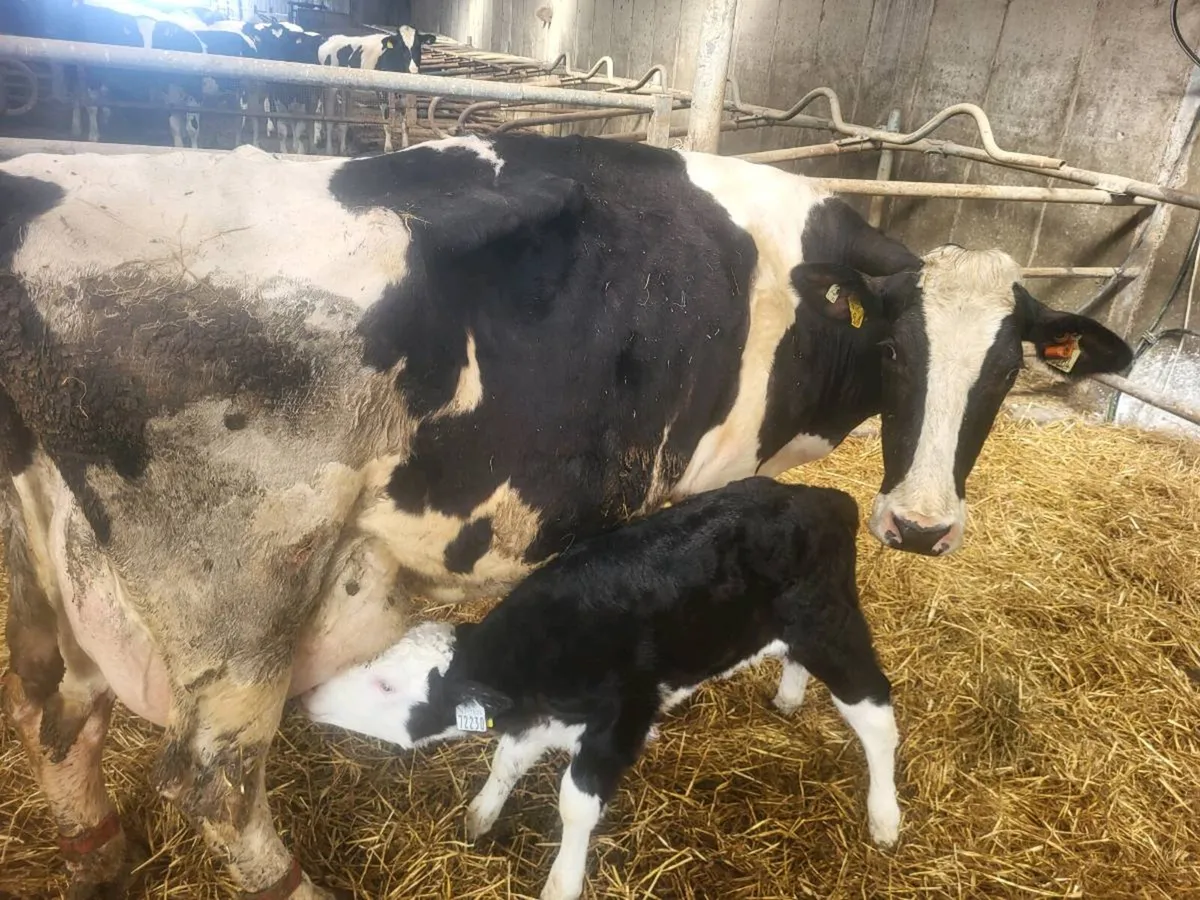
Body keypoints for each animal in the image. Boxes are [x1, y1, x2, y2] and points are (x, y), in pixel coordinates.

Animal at [0, 133, 1132, 899]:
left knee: (54, 711)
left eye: (1006, 369)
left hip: (47, 572)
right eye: (897, 350)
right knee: (212, 780)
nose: (925, 525)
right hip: (242, 596)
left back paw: (98, 857)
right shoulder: (707, 476)